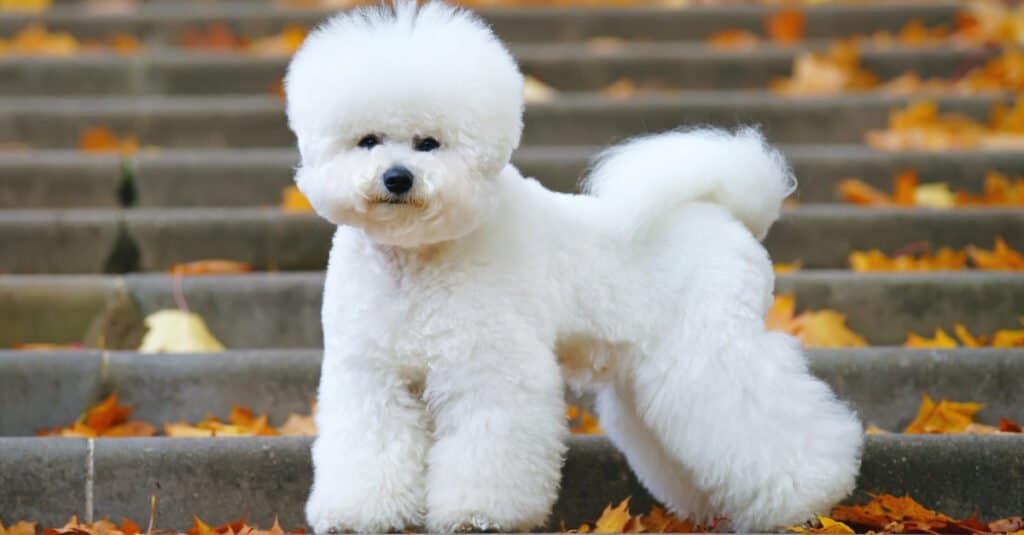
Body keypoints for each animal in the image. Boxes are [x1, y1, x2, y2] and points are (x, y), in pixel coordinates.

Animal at [286, 2, 864, 528]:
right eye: (367, 141)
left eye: (430, 143)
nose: (398, 178)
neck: (418, 257)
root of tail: (730, 213)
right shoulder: (370, 374)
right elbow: (368, 446)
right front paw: (359, 513)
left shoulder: (491, 370)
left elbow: (486, 449)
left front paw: (479, 514)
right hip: (652, 376)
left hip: (708, 350)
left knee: (768, 422)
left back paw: (807, 497)